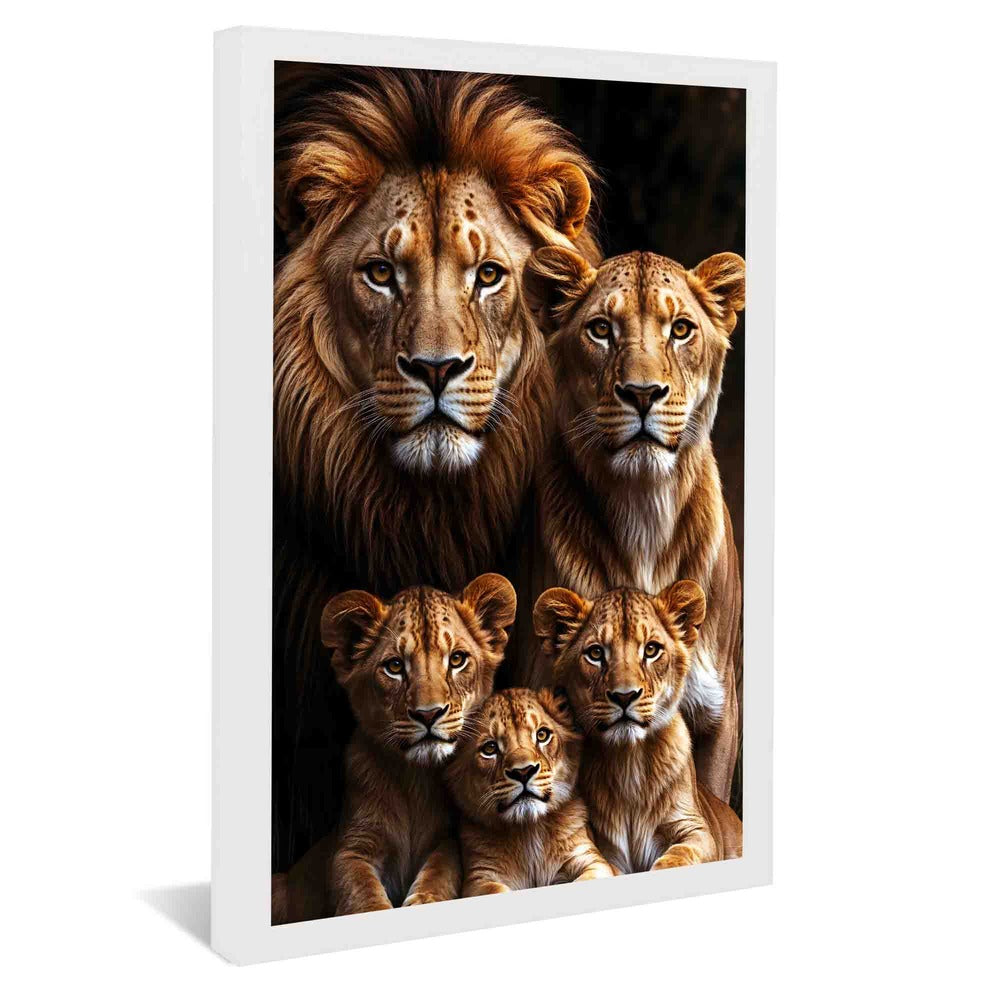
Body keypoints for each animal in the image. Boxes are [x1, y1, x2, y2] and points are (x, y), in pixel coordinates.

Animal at [271, 573, 516, 923]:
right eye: (395, 666)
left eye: (457, 660)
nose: (428, 714)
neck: (415, 779)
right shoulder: (351, 847)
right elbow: (359, 891)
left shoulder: (447, 840)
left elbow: (442, 869)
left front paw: (424, 900)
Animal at [446, 687, 613, 894]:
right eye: (490, 748)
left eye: (542, 735)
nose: (523, 772)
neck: (528, 831)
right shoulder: (479, 878)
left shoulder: (591, 860)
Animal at [533, 582, 742, 872]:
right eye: (595, 653)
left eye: (652, 650)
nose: (624, 696)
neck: (629, 761)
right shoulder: (602, 847)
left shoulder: (696, 829)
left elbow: (682, 853)